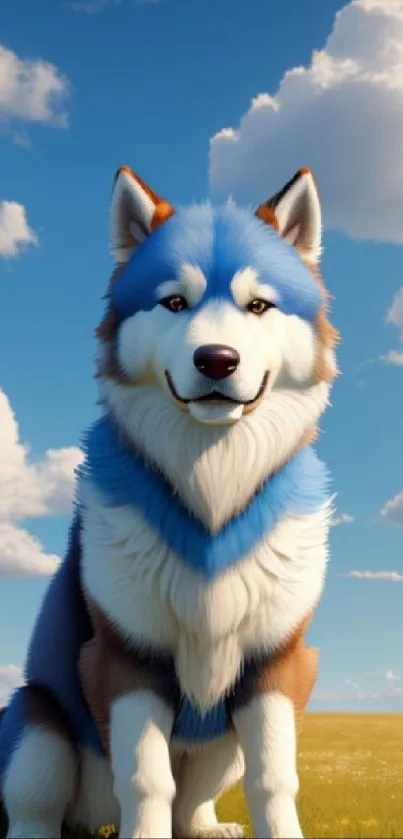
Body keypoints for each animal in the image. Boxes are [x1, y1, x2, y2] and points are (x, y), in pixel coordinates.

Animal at [0, 166, 340, 839]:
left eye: (258, 305)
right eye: (175, 303)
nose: (217, 359)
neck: (213, 493)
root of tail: (92, 820)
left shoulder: (276, 666)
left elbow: (273, 779)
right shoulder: (125, 658)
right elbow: (145, 779)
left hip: (222, 748)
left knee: (193, 802)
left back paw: (208, 825)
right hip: (36, 726)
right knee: (36, 805)